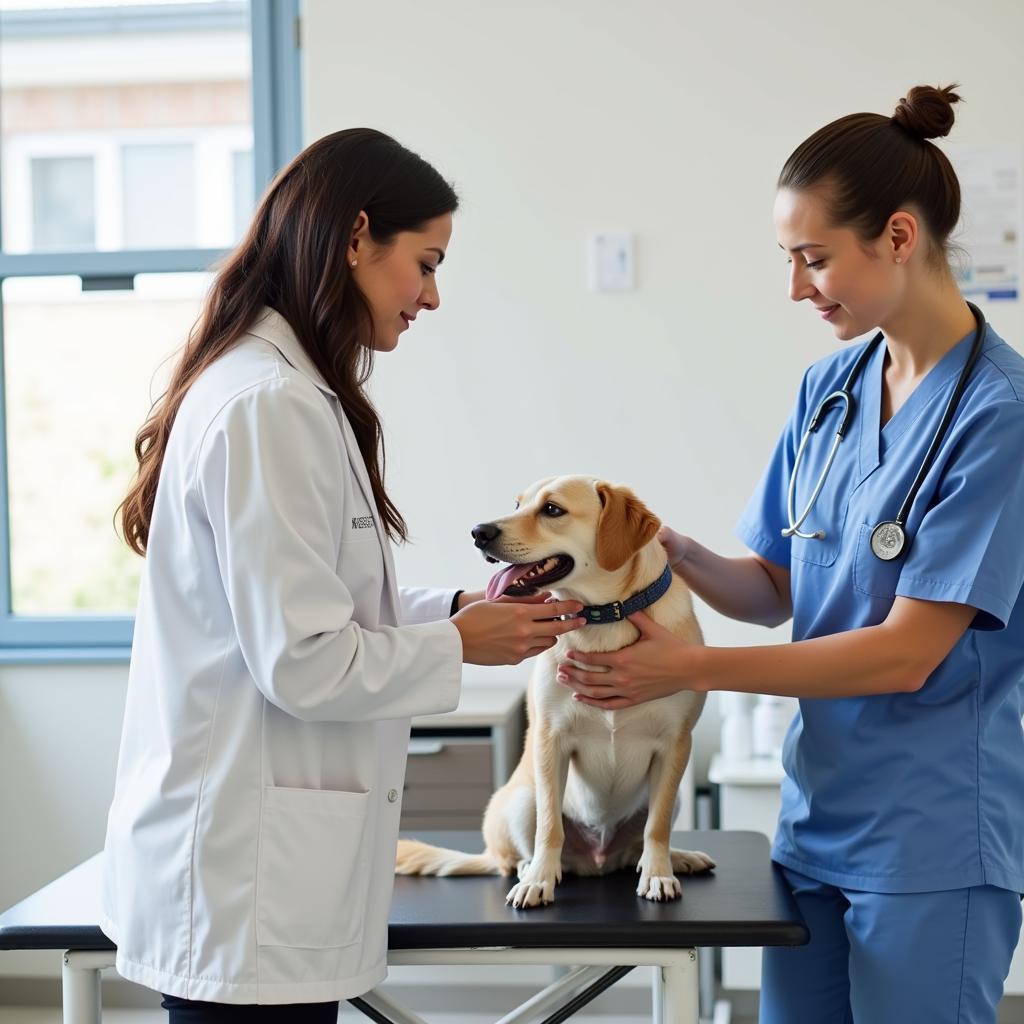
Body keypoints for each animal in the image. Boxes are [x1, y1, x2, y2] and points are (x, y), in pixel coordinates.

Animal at [391, 475, 712, 909]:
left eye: (552, 509)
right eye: (517, 504)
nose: (478, 532)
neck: (603, 618)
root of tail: (598, 861)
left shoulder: (675, 744)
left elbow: (656, 828)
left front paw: (659, 873)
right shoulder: (550, 738)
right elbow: (550, 827)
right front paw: (540, 880)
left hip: (669, 796)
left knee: (637, 847)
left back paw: (674, 859)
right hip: (518, 800)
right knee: (512, 856)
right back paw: (531, 869)